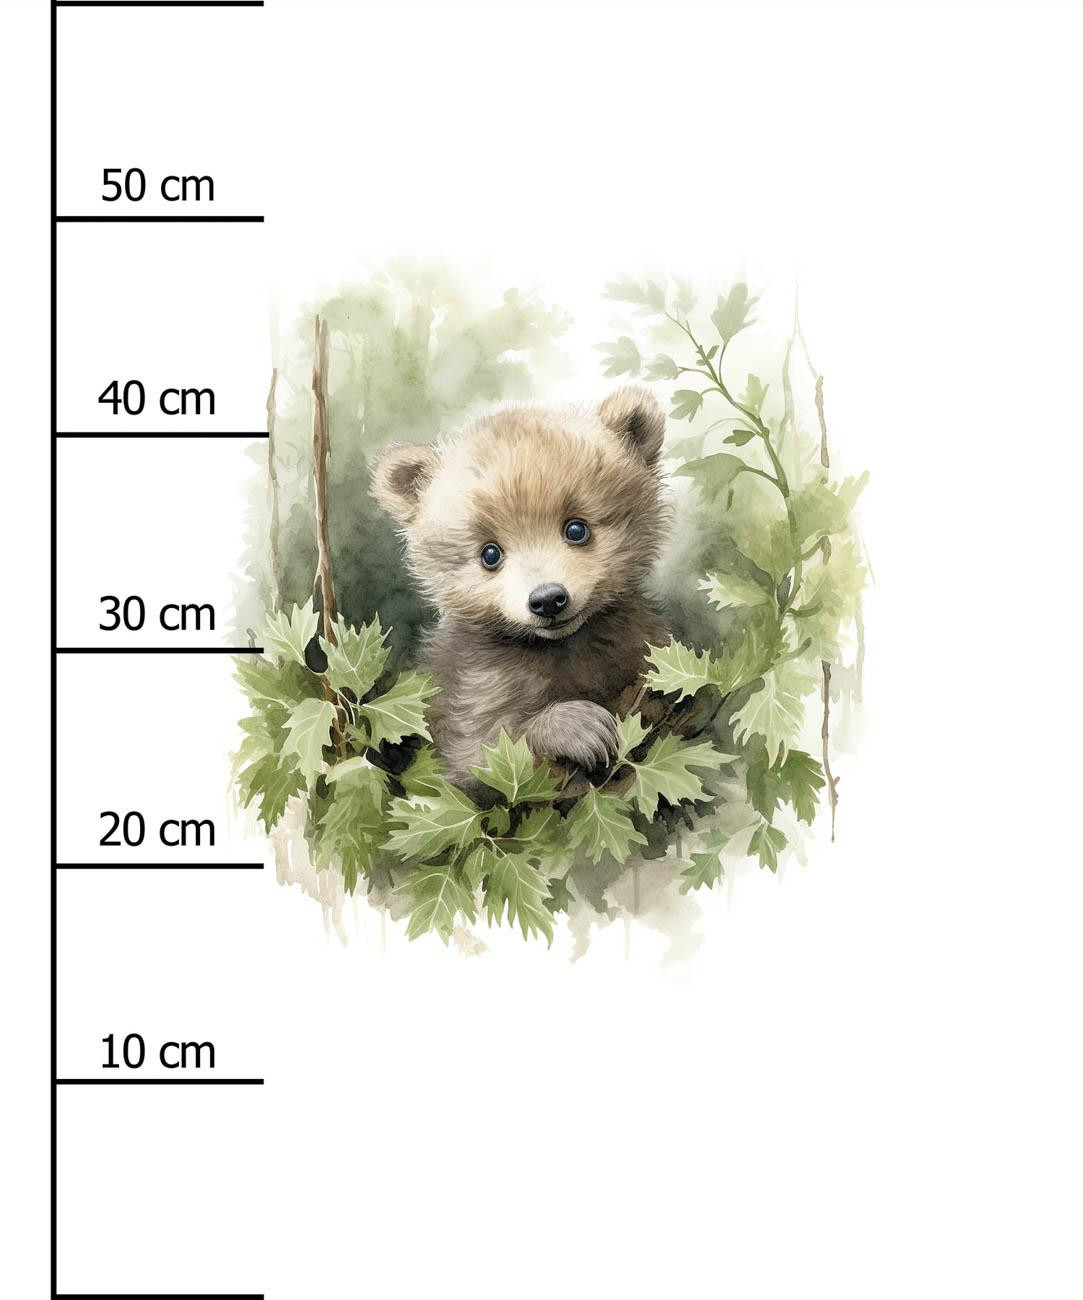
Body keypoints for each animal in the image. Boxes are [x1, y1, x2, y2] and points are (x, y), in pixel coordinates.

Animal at [371, 387, 670, 790]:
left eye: (577, 529)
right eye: (490, 554)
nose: (548, 600)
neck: (562, 648)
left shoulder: (636, 644)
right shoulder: (472, 689)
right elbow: (483, 757)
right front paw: (577, 727)